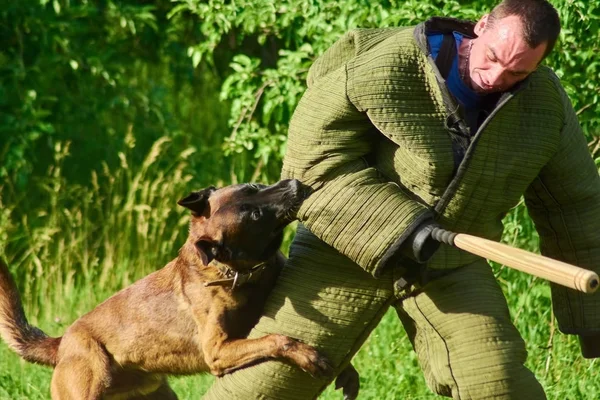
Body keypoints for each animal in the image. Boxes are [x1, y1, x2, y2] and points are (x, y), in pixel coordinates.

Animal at [0, 180, 358, 400]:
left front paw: (347, 371)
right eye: (255, 215)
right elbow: (275, 338)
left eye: (253, 187)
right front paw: (306, 354)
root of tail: (62, 343)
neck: (234, 271)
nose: (294, 184)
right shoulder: (218, 351)